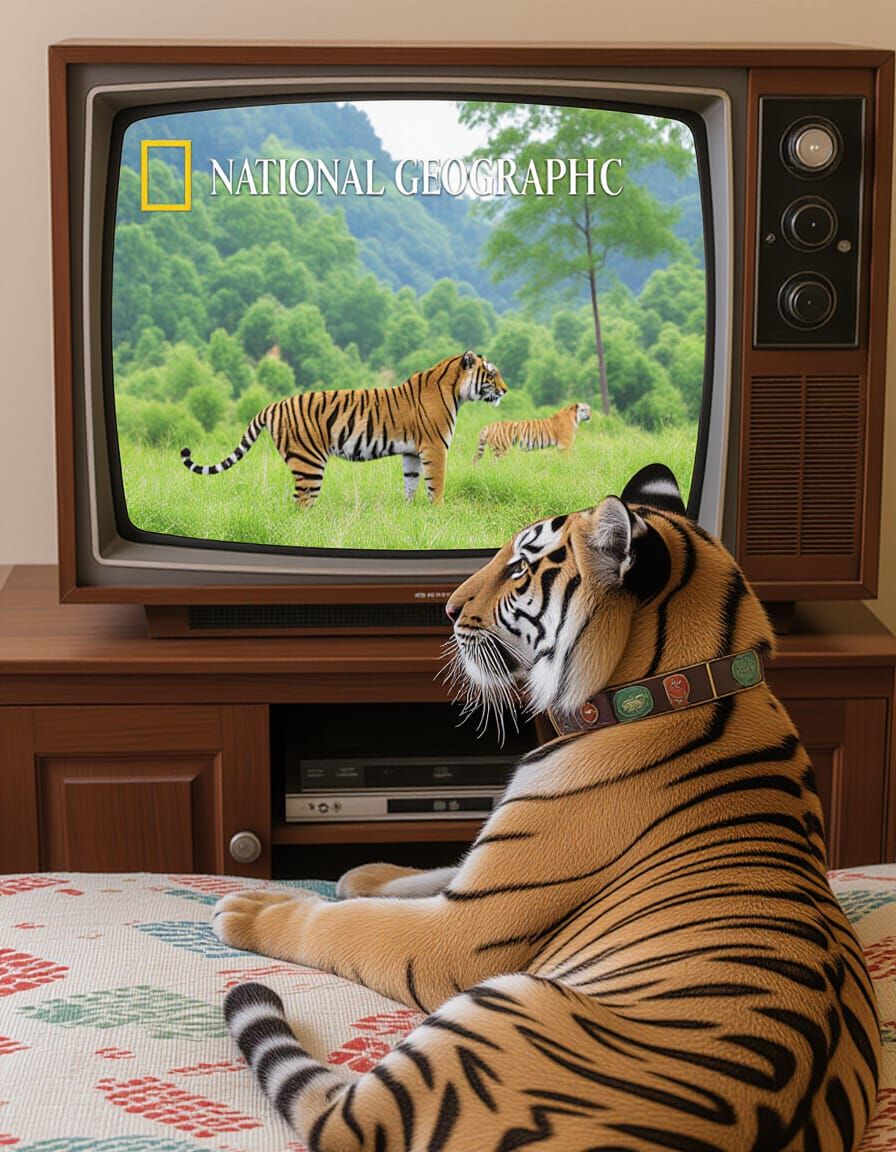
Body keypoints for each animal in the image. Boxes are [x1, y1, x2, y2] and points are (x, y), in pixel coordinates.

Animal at [180, 350, 507, 508]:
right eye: (491, 374)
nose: (506, 390)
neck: (455, 391)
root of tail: (272, 405)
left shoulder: (413, 452)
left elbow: (411, 483)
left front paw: (412, 510)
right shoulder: (435, 447)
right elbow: (436, 484)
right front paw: (438, 510)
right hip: (309, 462)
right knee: (301, 502)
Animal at [213, 462, 879, 1152]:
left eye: (517, 569)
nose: (446, 608)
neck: (686, 685)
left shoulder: (459, 933)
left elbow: (345, 923)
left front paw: (257, 906)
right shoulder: (487, 868)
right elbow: (435, 871)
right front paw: (362, 874)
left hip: (498, 1003)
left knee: (334, 1112)